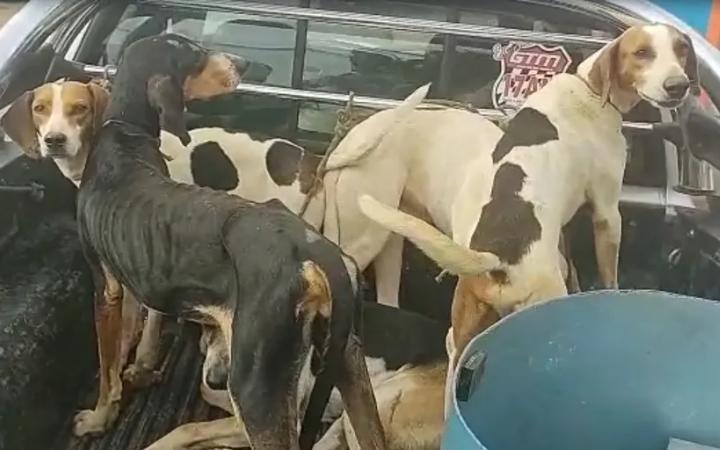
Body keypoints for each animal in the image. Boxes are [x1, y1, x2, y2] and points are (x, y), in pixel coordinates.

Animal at [71, 32, 386, 450]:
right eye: (194, 54)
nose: (243, 64)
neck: (125, 133)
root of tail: (314, 252)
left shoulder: (105, 288)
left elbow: (108, 368)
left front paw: (97, 419)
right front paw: (141, 368)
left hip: (255, 387)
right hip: (349, 364)